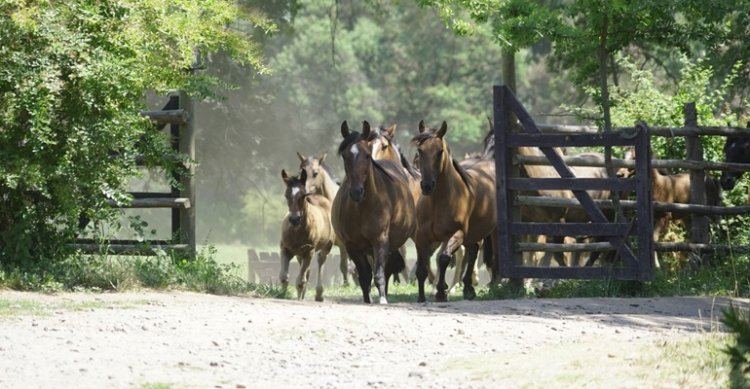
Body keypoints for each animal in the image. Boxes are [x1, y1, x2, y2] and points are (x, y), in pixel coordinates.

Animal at [280, 169, 334, 300]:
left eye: (303, 195)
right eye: (286, 195)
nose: (294, 219)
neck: (297, 231)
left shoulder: (309, 250)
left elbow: (300, 280)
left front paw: (299, 298)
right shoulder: (285, 248)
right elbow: (284, 276)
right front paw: (281, 295)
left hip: (326, 246)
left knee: (320, 261)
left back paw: (319, 294)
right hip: (300, 254)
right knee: (307, 271)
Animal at [296, 152, 352, 284]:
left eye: (315, 173)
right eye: (301, 172)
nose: (303, 193)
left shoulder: (342, 243)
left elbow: (344, 265)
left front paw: (346, 284)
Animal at [334, 121, 420, 304]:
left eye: (367, 155)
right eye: (344, 155)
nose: (356, 192)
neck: (363, 207)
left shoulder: (381, 241)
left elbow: (380, 273)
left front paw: (382, 299)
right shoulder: (352, 246)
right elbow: (365, 276)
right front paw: (368, 299)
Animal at [412, 119, 500, 302]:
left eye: (440, 151)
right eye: (420, 150)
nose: (427, 186)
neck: (438, 202)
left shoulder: (456, 234)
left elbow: (444, 258)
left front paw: (441, 292)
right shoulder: (421, 237)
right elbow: (422, 267)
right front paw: (421, 297)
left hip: (492, 232)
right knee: (473, 252)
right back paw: (468, 288)